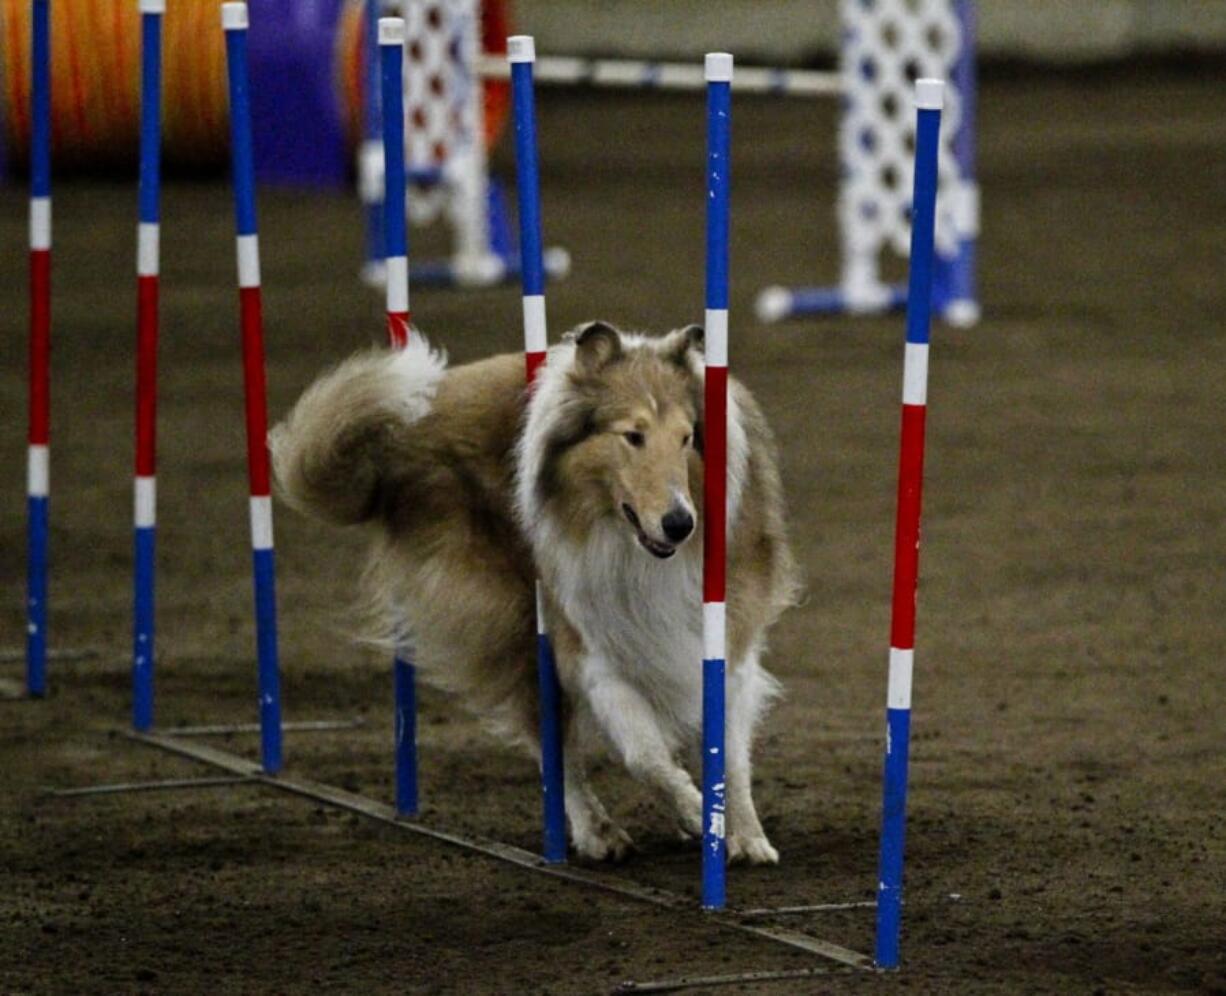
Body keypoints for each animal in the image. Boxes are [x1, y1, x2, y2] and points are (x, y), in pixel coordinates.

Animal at [272, 323, 799, 858]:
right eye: (632, 436)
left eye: (687, 437)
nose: (679, 524)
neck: (630, 546)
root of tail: (414, 425)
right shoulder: (587, 642)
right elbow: (643, 754)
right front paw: (695, 809)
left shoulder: (727, 634)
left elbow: (728, 754)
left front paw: (745, 834)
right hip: (509, 621)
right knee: (551, 741)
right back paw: (597, 832)